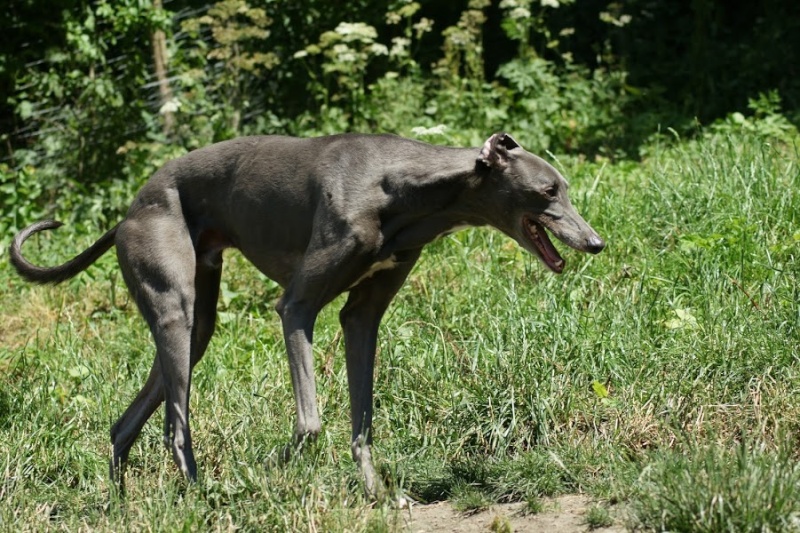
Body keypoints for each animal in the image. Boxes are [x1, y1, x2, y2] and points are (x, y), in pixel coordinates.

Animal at [10, 132, 600, 494]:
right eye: (547, 189)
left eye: (566, 188)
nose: (596, 243)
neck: (402, 188)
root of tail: (129, 210)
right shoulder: (295, 307)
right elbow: (312, 421)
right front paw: (271, 469)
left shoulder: (362, 319)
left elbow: (363, 419)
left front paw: (377, 494)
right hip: (175, 311)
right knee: (174, 426)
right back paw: (200, 493)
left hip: (196, 326)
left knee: (125, 425)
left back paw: (125, 500)